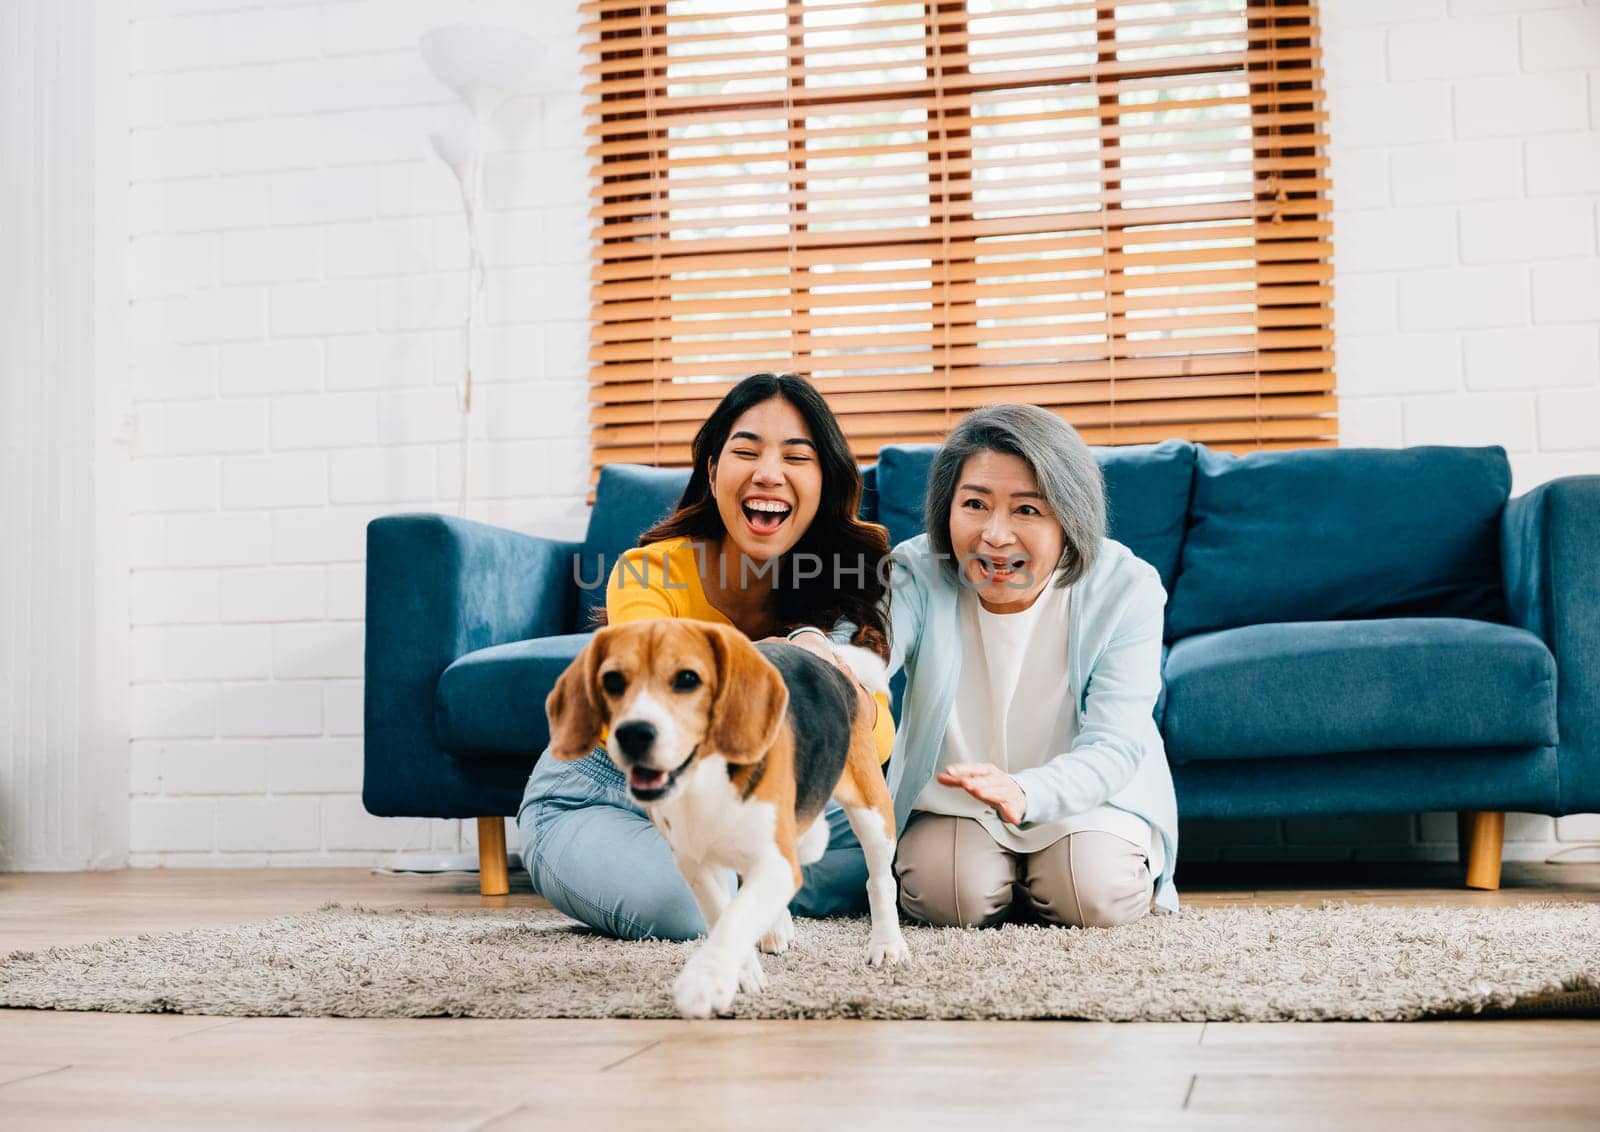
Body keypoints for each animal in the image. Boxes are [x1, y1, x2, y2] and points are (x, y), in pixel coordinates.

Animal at [544, 620, 908, 1016]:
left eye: (687, 679)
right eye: (612, 681)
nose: (633, 734)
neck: (703, 778)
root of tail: (828, 664)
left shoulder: (774, 859)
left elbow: (739, 916)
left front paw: (704, 981)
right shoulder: (694, 861)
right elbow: (724, 914)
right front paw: (741, 972)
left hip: (871, 807)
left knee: (878, 879)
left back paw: (887, 944)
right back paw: (775, 928)